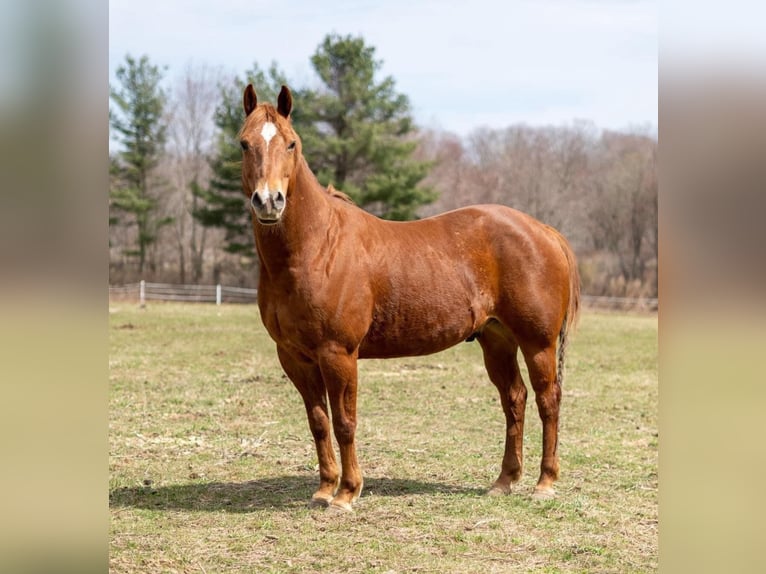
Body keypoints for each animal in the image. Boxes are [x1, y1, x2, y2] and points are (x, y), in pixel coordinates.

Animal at [240, 84, 584, 512]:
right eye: (244, 143)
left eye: (291, 143)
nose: (268, 201)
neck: (317, 246)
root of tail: (544, 230)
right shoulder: (295, 357)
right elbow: (319, 422)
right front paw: (324, 489)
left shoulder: (339, 353)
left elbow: (345, 422)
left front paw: (347, 492)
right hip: (497, 340)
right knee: (514, 399)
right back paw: (504, 480)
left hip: (538, 342)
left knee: (547, 400)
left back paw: (545, 482)